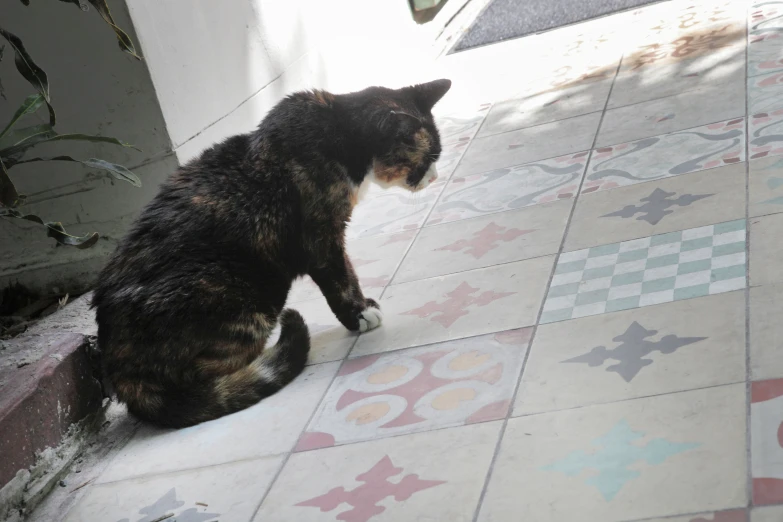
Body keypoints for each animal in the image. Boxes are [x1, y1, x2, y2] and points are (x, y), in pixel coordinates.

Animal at [90, 78, 454, 426]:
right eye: (429, 158)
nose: (436, 176)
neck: (337, 128)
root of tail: (121, 373)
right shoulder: (322, 236)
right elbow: (341, 277)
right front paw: (359, 313)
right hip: (246, 297)